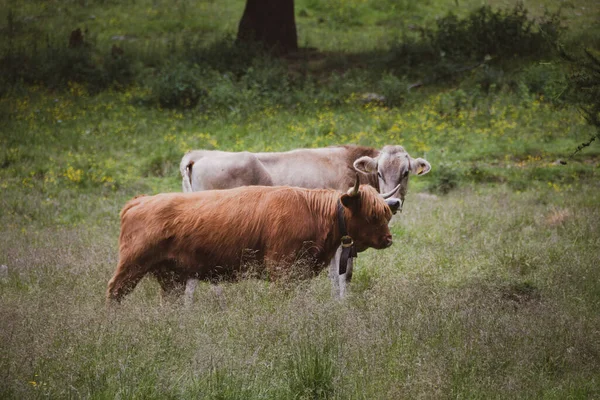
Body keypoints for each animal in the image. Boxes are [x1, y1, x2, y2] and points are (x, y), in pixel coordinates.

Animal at [107, 181, 398, 304]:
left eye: (387, 213)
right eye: (373, 215)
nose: (388, 239)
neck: (314, 213)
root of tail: (140, 200)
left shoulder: (300, 273)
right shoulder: (282, 269)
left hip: (171, 276)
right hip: (132, 266)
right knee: (115, 292)